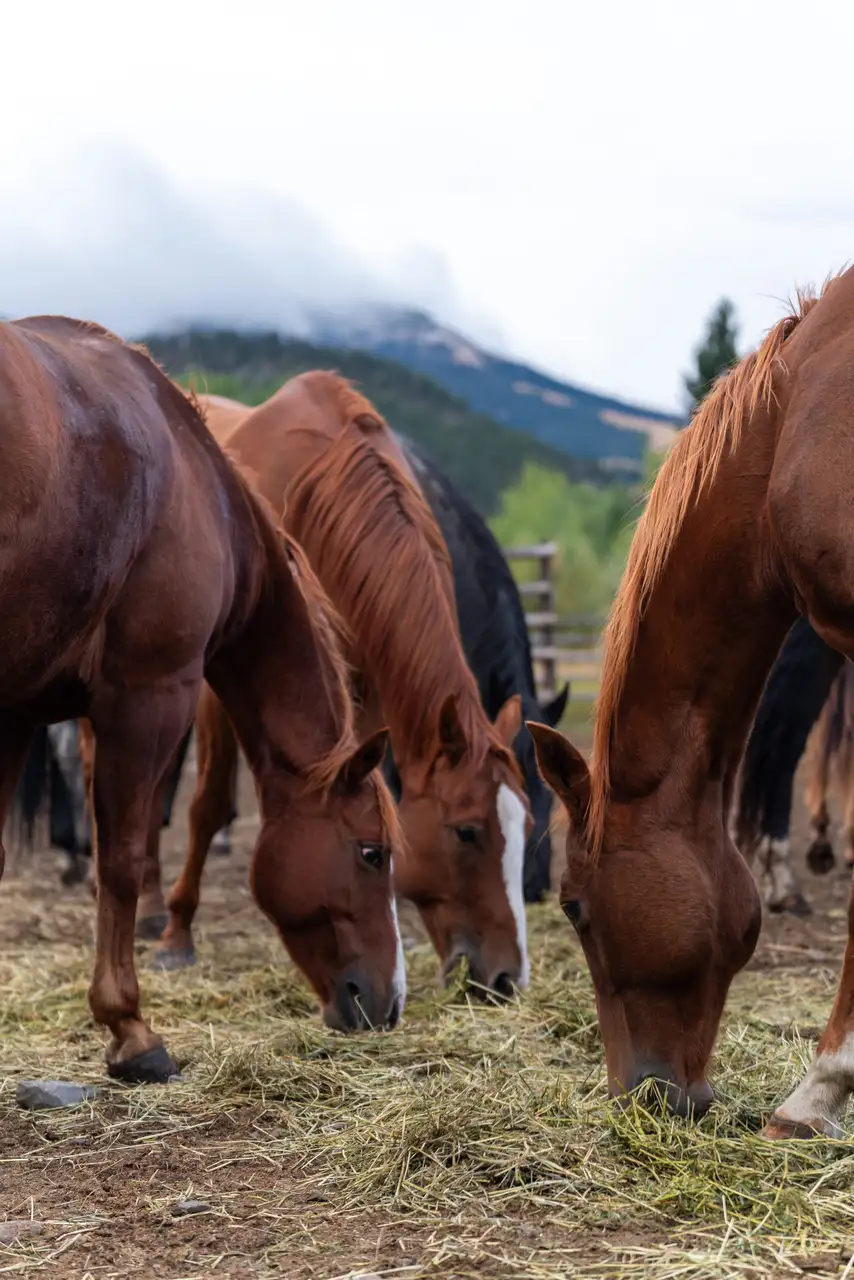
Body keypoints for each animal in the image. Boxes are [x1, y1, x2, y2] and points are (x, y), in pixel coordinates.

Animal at [0, 317, 407, 1080]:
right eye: (372, 853)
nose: (389, 1002)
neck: (197, 488)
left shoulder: (13, 713)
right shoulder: (148, 698)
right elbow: (123, 858)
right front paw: (131, 1029)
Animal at [150, 373, 530, 993]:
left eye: (527, 824)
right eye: (467, 832)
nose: (507, 979)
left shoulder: (366, 688)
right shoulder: (219, 685)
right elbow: (206, 805)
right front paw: (177, 936)